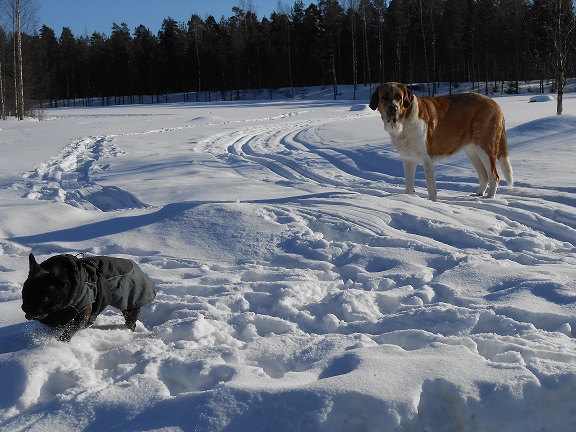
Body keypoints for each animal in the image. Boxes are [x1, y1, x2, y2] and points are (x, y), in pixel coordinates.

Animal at [21, 253, 158, 340]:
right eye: (23, 295)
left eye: (43, 299)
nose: (26, 307)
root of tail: (136, 266)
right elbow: (56, 323)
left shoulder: (83, 313)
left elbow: (71, 329)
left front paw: (62, 340)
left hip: (131, 304)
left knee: (131, 322)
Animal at [368, 82, 512, 201]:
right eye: (384, 97)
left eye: (398, 97)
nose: (393, 108)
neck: (404, 121)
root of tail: (495, 104)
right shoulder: (408, 159)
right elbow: (409, 183)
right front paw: (408, 198)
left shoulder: (426, 159)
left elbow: (430, 186)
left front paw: (432, 202)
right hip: (472, 151)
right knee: (484, 175)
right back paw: (478, 194)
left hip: (485, 148)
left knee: (494, 176)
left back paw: (489, 197)